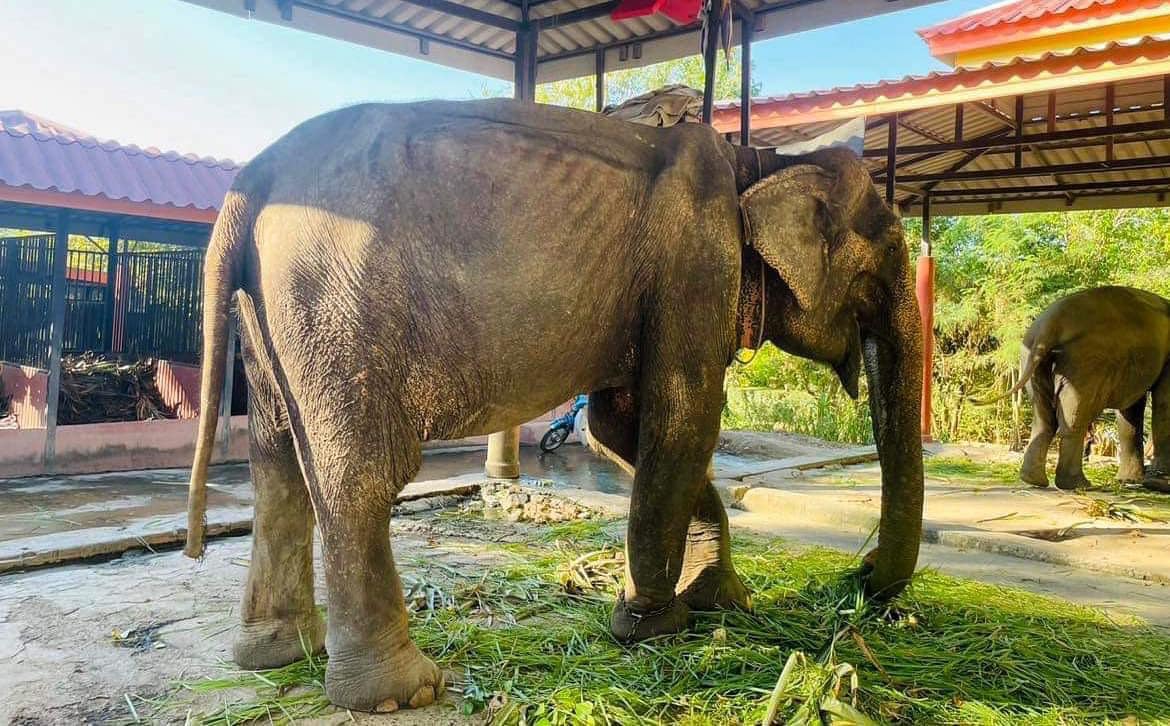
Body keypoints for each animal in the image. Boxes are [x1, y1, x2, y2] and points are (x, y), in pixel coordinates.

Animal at [182, 100, 921, 715]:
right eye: (887, 255)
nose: (859, 577)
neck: (758, 160)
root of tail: (249, 183)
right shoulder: (696, 266)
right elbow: (684, 419)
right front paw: (653, 626)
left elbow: (623, 426)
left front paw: (720, 601)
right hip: (334, 305)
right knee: (359, 476)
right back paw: (404, 694)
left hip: (270, 314)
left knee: (276, 465)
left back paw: (282, 654)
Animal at [1010, 286, 1170, 488]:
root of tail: (1050, 324)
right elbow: (1162, 403)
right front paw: (1157, 481)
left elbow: (1131, 409)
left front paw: (1130, 481)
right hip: (1085, 363)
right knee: (1076, 416)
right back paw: (1078, 484)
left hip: (1032, 358)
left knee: (1043, 417)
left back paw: (1034, 479)